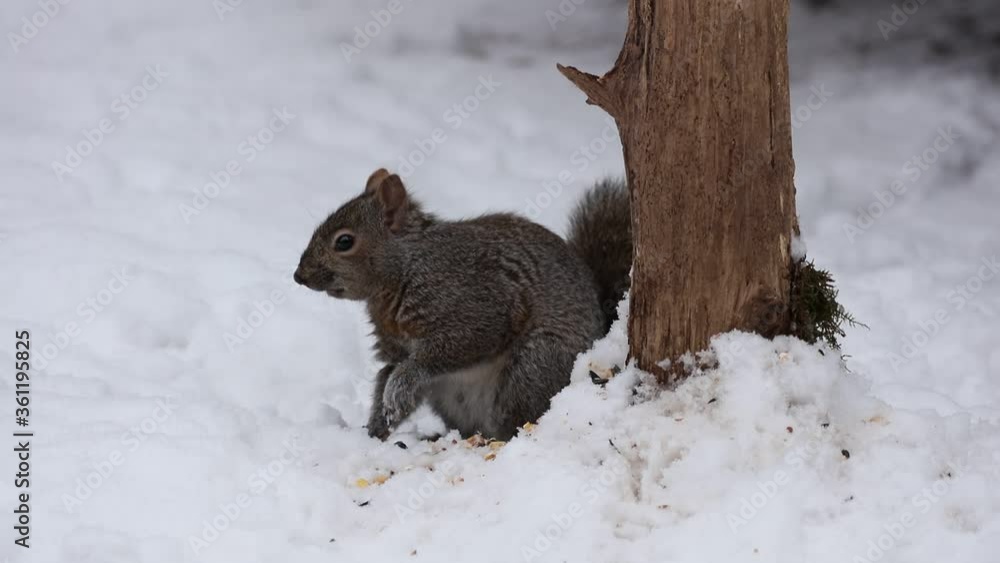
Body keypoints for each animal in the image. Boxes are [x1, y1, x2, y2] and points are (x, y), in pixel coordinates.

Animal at [292, 170, 628, 442]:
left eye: (344, 242)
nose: (299, 276)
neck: (406, 269)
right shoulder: (394, 344)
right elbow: (387, 374)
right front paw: (377, 427)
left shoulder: (476, 307)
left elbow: (445, 352)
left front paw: (400, 387)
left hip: (534, 366)